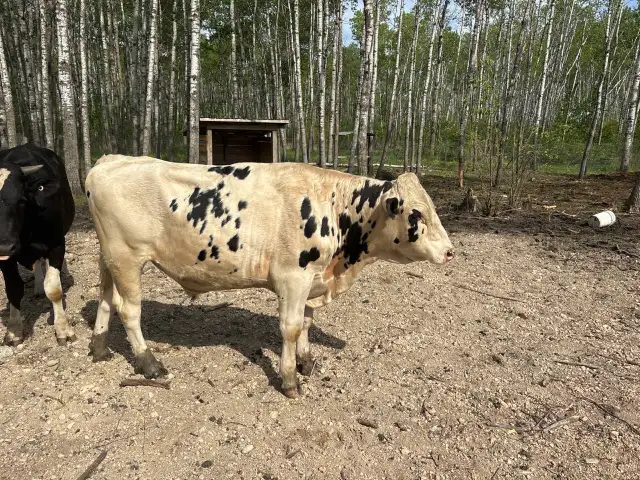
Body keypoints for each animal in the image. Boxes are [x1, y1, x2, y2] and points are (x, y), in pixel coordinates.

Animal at [0, 143, 76, 346]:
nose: (4, 246)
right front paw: (14, 330)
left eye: (21, 200)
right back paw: (38, 287)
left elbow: (55, 289)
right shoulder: (5, 258)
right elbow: (13, 289)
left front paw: (63, 329)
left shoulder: (56, 244)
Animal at [85, 155, 454, 397]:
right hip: (127, 257)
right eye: (416, 213)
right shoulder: (294, 277)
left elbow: (305, 323)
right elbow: (290, 328)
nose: (450, 251)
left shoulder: (312, 280)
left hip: (109, 258)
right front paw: (290, 380)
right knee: (129, 309)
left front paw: (306, 362)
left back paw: (100, 347)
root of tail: (109, 161)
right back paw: (149, 363)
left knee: (105, 298)